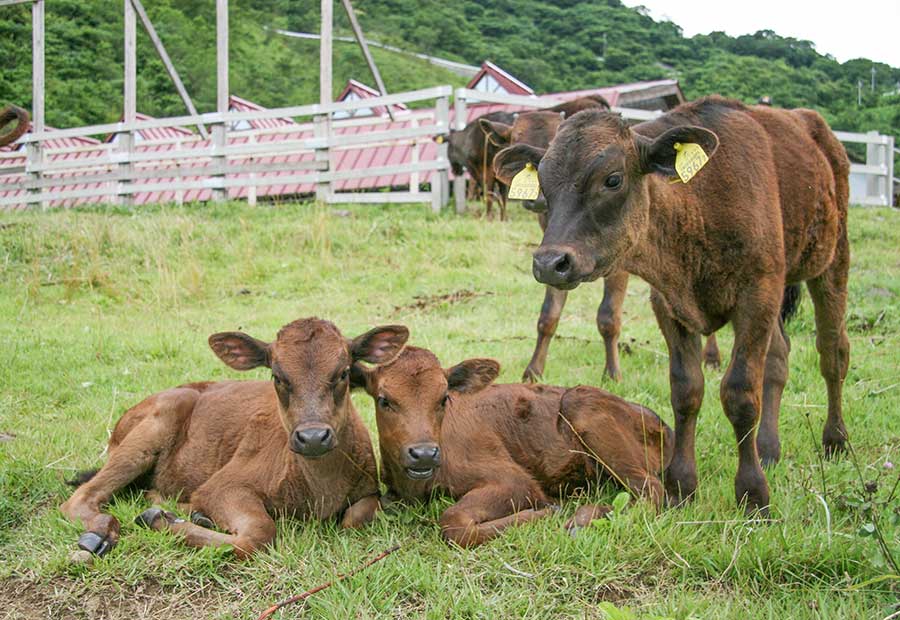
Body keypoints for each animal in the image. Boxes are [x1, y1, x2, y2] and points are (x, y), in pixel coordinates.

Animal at [64, 318, 412, 560]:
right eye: (277, 376)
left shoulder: (368, 491)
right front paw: (159, 522)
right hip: (150, 430)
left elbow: (355, 517)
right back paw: (101, 534)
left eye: (343, 372)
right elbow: (258, 533)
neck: (320, 491)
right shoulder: (223, 485)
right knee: (81, 497)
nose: (313, 437)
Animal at [356, 348, 672, 548]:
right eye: (384, 400)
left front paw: (546, 512)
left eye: (444, 397)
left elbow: (453, 523)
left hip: (582, 404)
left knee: (651, 489)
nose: (423, 453)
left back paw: (583, 519)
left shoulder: (514, 480)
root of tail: (657, 421)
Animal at [482, 100, 720, 382]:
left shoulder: (619, 261)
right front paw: (533, 372)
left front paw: (612, 373)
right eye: (539, 172)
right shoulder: (553, 255)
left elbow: (608, 317)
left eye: (612, 179)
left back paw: (712, 357)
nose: (536, 200)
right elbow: (548, 314)